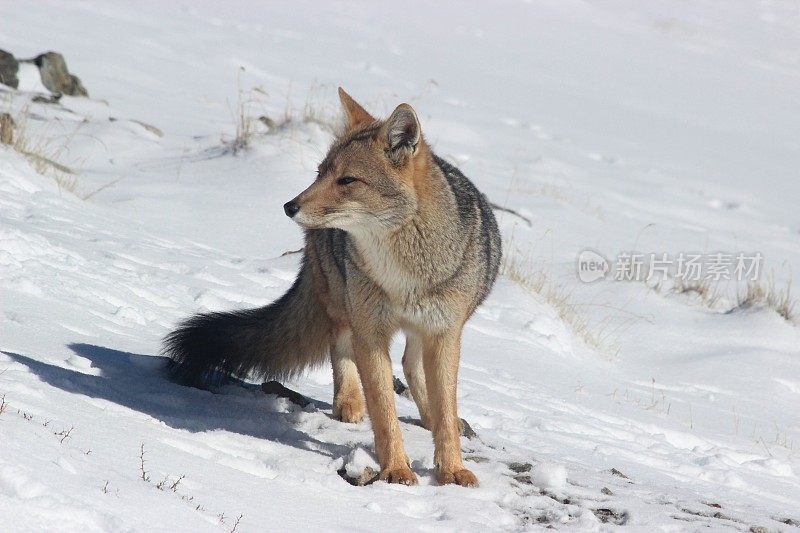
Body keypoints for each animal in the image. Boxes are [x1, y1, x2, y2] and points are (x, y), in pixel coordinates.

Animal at [163, 87, 500, 486]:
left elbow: (446, 412)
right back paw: (349, 402)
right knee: (339, 343)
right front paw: (396, 469)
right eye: (320, 173)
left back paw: (426, 416)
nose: (289, 206)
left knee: (411, 367)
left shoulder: (445, 334)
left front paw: (451, 470)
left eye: (348, 181)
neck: (404, 276)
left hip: (423, 330)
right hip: (343, 304)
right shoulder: (371, 332)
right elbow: (384, 413)